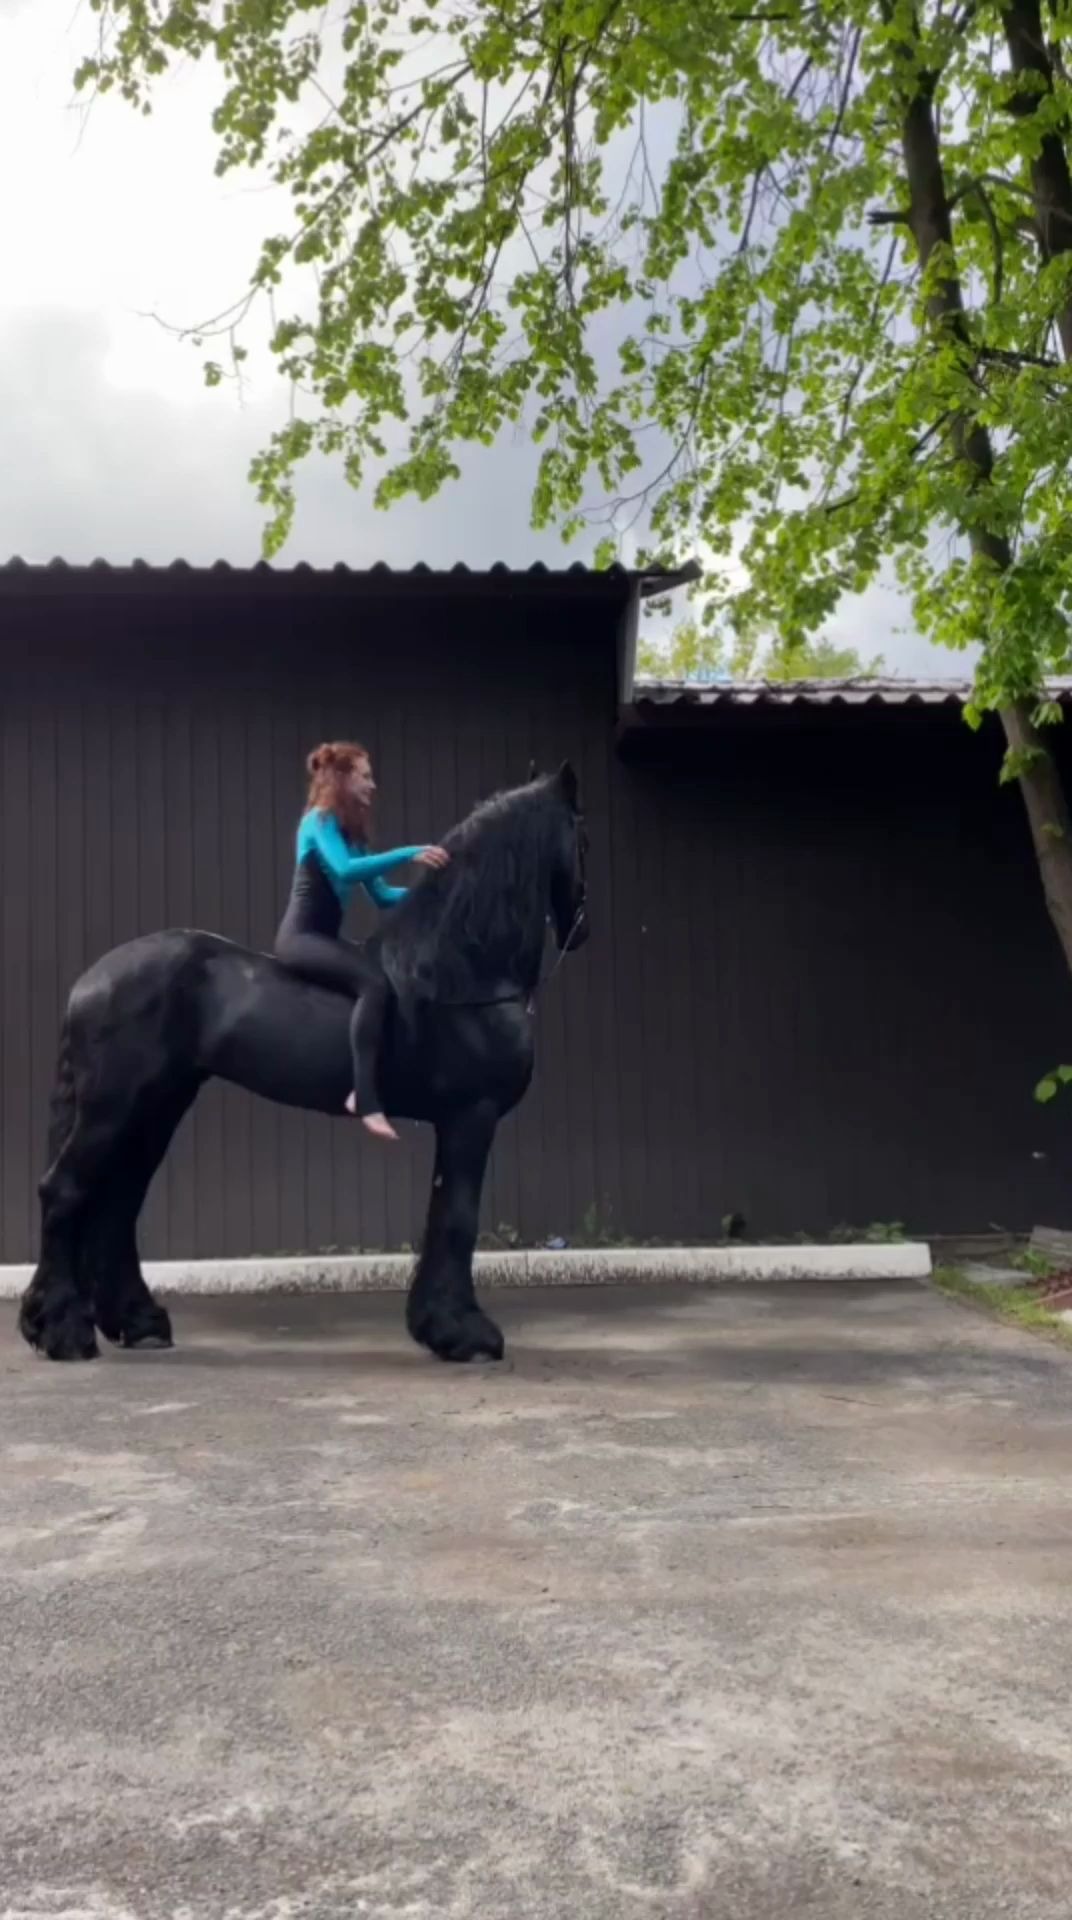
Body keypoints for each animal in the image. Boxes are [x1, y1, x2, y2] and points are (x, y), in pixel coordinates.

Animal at [16, 756, 591, 1374]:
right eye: (581, 838)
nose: (582, 929)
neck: (456, 973)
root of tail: (92, 980)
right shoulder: (471, 1117)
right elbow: (457, 1219)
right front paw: (464, 1334)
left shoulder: (459, 1122)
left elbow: (443, 1216)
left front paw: (443, 1327)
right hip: (113, 1107)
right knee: (65, 1191)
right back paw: (63, 1331)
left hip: (158, 1106)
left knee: (117, 1204)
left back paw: (135, 1323)